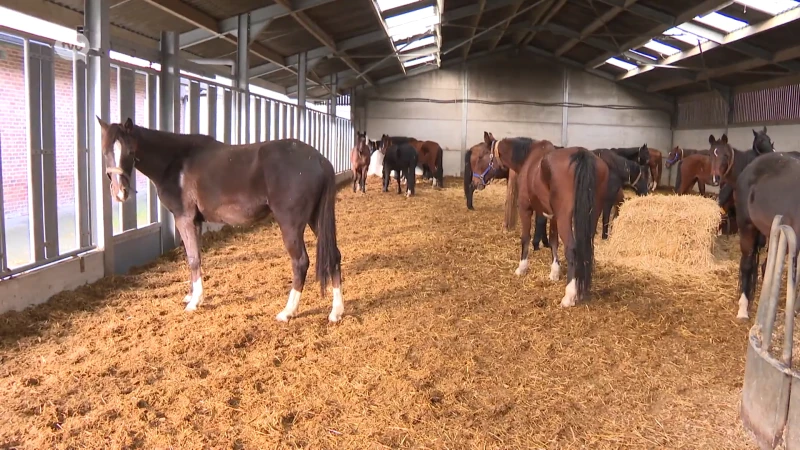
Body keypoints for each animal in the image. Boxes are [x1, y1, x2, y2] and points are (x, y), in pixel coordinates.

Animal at [97, 116, 344, 320]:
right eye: (105, 151)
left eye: (130, 152)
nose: (120, 193)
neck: (175, 162)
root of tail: (319, 159)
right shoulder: (195, 221)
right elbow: (193, 257)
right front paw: (192, 295)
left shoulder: (184, 218)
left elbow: (193, 258)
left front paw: (194, 302)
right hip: (315, 219)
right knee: (334, 255)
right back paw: (336, 311)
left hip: (290, 224)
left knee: (300, 261)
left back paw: (288, 311)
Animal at [484, 132, 608, 308]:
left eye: (483, 155)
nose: (476, 180)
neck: (528, 158)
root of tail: (582, 155)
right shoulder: (553, 216)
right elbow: (553, 242)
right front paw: (554, 272)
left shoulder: (525, 208)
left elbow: (525, 238)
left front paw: (521, 268)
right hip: (591, 216)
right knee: (587, 248)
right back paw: (582, 289)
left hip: (565, 218)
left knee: (572, 249)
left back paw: (569, 296)